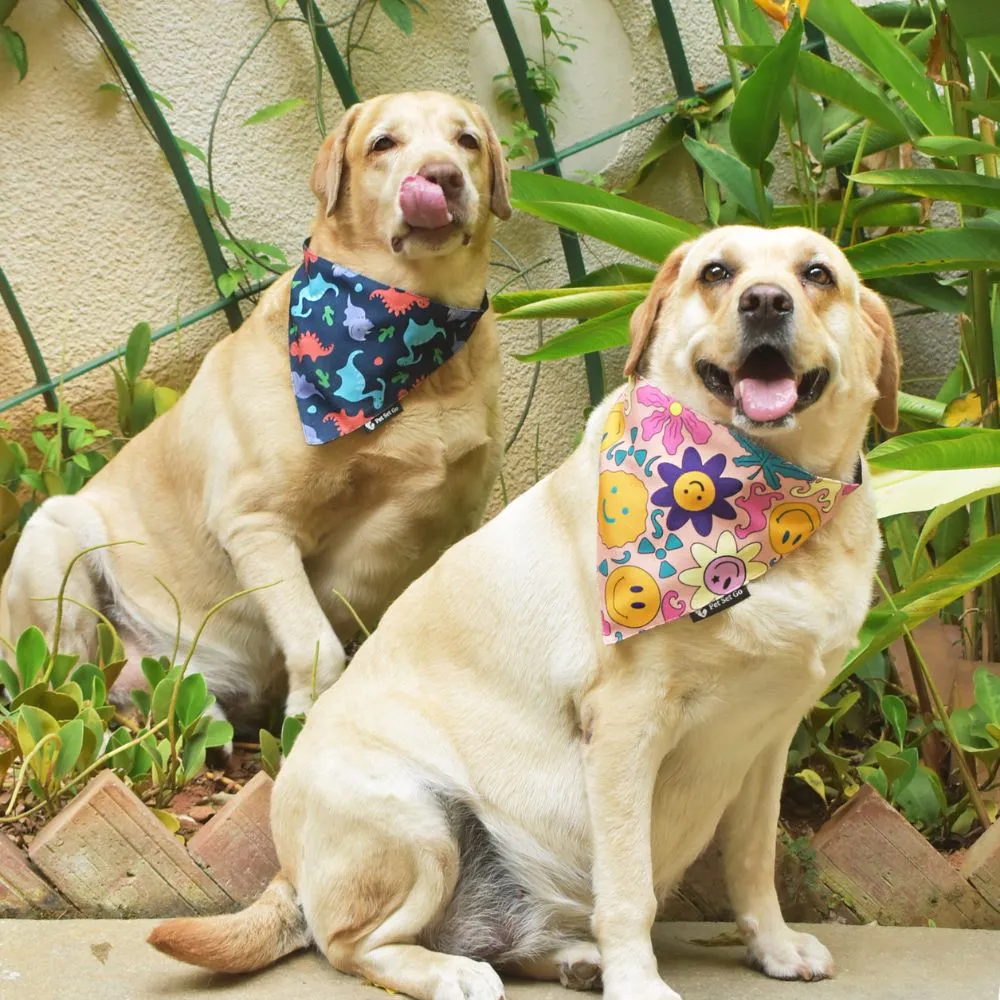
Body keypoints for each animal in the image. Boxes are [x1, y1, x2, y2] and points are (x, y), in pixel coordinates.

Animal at [0, 94, 512, 732]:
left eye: (467, 141)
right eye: (383, 144)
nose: (441, 176)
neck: (415, 343)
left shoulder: (453, 520)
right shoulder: (257, 524)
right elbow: (317, 646)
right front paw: (311, 721)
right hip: (56, 546)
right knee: (63, 695)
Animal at [148, 229, 900, 1000]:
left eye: (818, 274)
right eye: (716, 272)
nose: (766, 302)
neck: (772, 503)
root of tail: (289, 871)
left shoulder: (766, 737)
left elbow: (751, 865)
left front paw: (774, 949)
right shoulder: (625, 731)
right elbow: (627, 888)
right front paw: (639, 981)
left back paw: (573, 959)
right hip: (417, 820)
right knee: (351, 946)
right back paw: (454, 972)